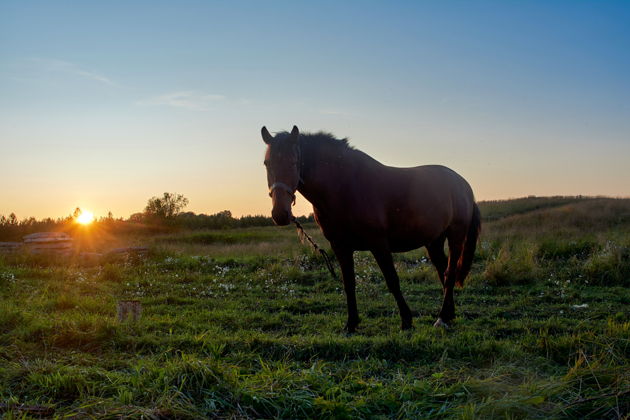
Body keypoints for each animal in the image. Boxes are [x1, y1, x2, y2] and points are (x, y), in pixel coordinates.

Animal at [260, 124, 482, 332]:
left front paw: (406, 321)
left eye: (293, 162)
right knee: (443, 271)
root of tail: (463, 185)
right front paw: (351, 324)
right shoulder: (340, 246)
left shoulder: (378, 243)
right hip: (434, 241)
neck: (345, 186)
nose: (280, 214)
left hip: (455, 237)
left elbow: (392, 280)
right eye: (266, 163)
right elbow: (349, 283)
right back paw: (449, 315)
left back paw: (442, 318)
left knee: (449, 273)